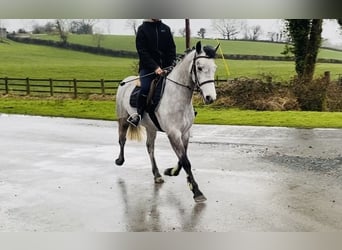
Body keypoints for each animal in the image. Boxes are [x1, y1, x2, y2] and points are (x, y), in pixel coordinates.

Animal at [114, 40, 216, 201]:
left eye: (214, 68)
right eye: (199, 67)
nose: (210, 98)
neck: (178, 97)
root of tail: (125, 81)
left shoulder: (184, 133)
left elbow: (182, 158)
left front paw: (172, 172)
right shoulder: (173, 133)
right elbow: (186, 161)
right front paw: (197, 191)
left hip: (150, 127)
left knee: (150, 147)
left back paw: (157, 175)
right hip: (123, 119)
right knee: (122, 139)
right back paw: (120, 160)